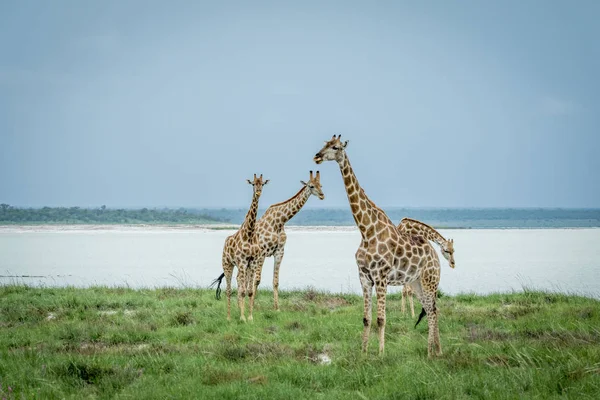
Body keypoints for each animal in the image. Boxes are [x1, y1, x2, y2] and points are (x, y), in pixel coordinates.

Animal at [210, 173, 268, 320]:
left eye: (262, 184)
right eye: (253, 183)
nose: (258, 192)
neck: (250, 233)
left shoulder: (252, 262)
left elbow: (249, 291)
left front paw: (250, 317)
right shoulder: (242, 261)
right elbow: (241, 291)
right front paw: (242, 318)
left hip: (240, 267)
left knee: (238, 286)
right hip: (227, 264)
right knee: (229, 290)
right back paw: (229, 317)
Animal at [245, 170, 326, 320]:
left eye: (321, 185)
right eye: (311, 186)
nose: (322, 195)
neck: (279, 221)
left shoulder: (279, 252)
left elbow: (275, 281)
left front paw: (276, 308)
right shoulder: (263, 252)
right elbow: (257, 280)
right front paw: (252, 307)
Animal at [314, 134, 440, 356]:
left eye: (336, 147)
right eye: (325, 144)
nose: (317, 156)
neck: (366, 230)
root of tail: (436, 255)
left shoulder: (381, 277)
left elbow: (381, 319)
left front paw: (381, 354)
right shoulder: (364, 277)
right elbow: (367, 318)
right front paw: (363, 353)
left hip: (429, 280)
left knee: (433, 310)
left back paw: (430, 352)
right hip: (416, 282)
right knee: (431, 309)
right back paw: (436, 351)